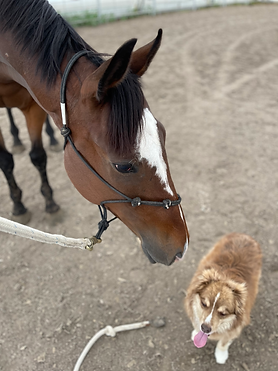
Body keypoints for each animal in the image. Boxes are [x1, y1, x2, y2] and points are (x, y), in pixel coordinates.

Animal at [0, 0, 189, 268]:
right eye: (122, 166)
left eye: (163, 135)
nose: (181, 247)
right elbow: (8, 160)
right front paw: (19, 204)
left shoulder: (32, 102)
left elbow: (37, 155)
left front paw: (48, 201)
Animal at [185, 234, 260, 364]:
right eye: (203, 304)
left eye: (223, 313)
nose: (205, 329)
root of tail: (244, 235)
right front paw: (196, 332)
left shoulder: (234, 329)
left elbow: (224, 343)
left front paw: (221, 355)